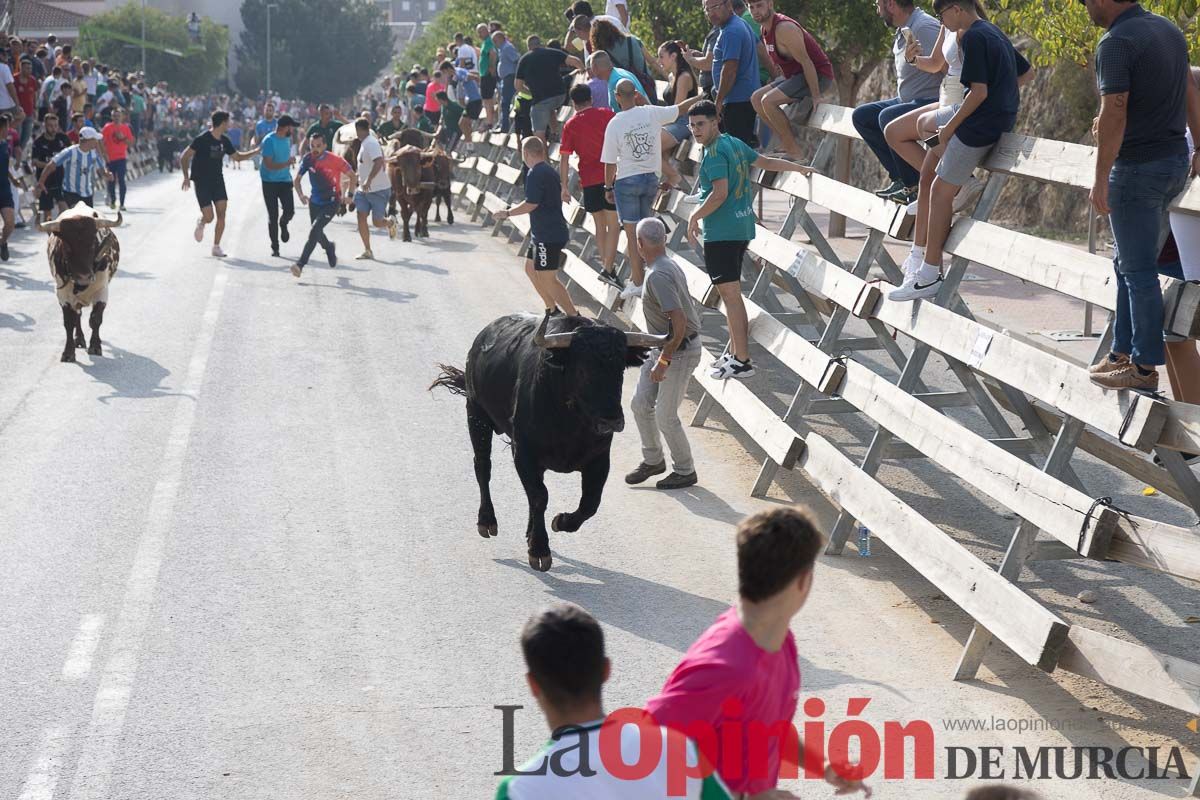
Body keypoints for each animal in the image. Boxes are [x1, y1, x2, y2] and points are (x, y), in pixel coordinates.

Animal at [39, 201, 122, 362]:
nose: (84, 277)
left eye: (92, 244)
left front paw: (95, 346)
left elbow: (95, 319)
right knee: (77, 316)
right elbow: (69, 323)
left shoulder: (102, 291)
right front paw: (68, 352)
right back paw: (79, 339)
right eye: (67, 246)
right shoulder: (63, 295)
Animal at [432, 311, 672, 568]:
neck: (571, 423)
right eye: (583, 369)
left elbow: (590, 502)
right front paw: (539, 549)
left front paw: (561, 522)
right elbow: (539, 496)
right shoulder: (524, 453)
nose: (612, 420)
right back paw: (487, 521)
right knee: (483, 466)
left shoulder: (599, 460)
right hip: (476, 414)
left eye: (620, 369)